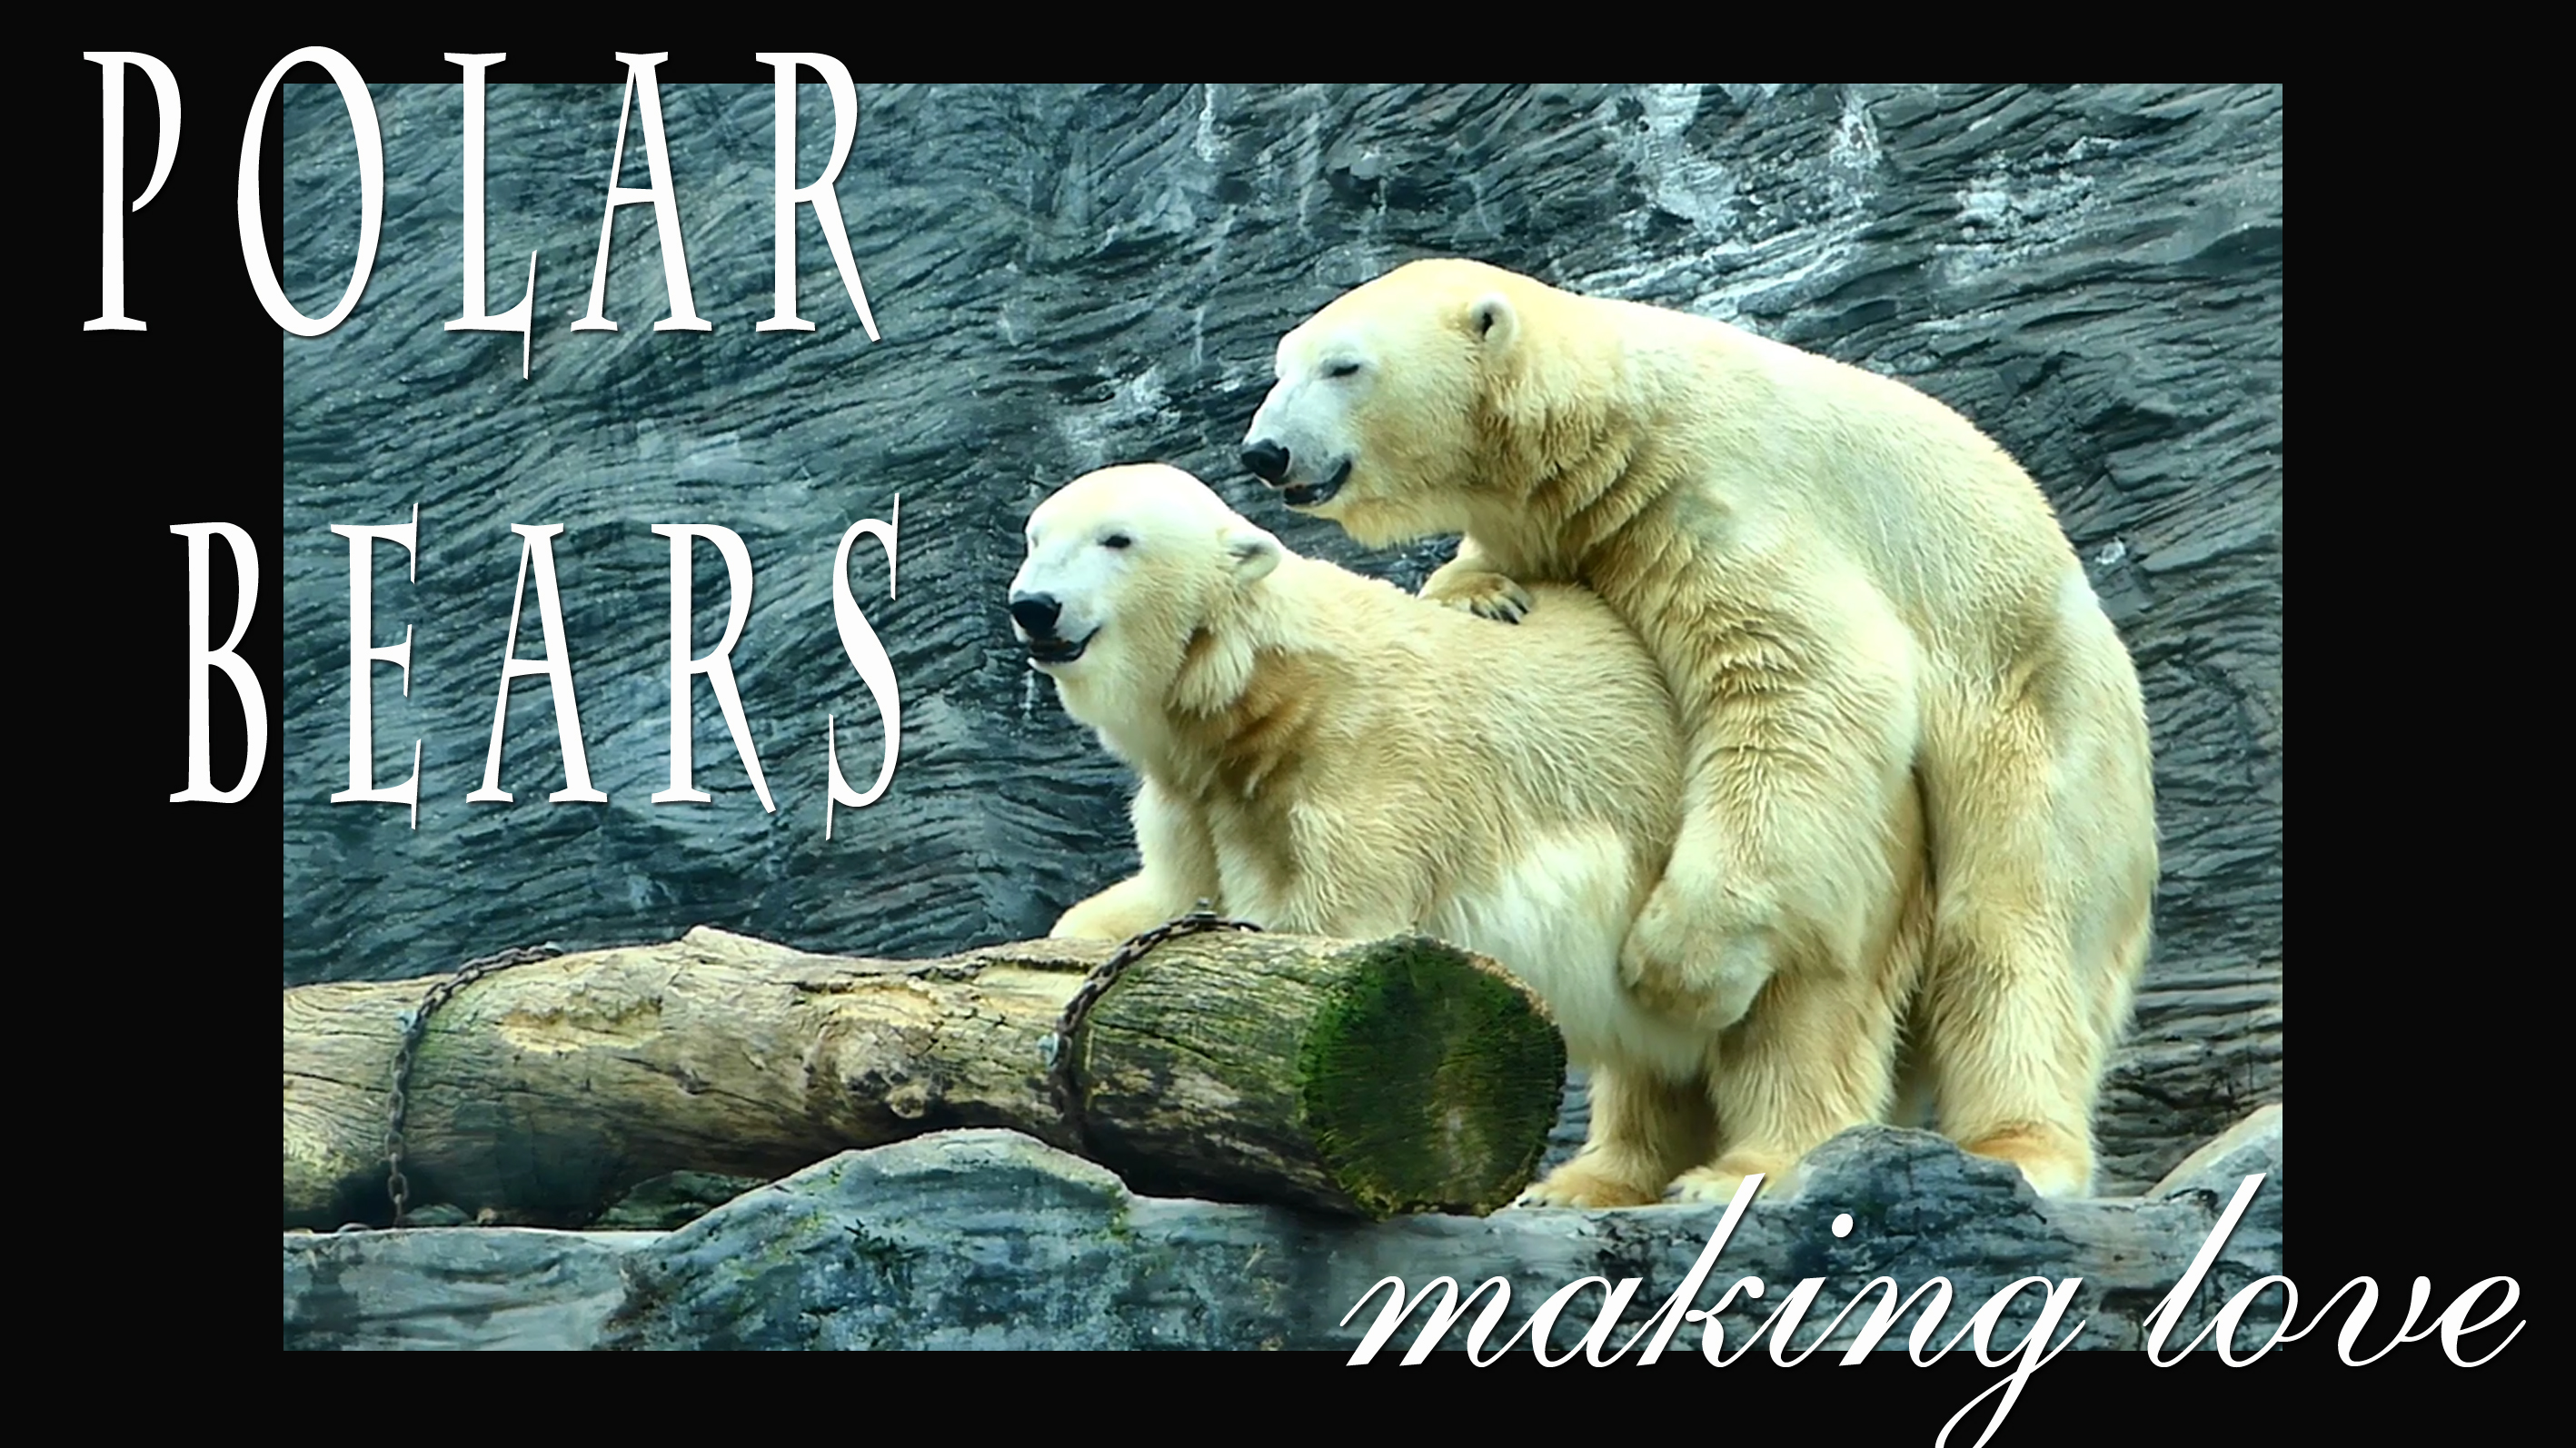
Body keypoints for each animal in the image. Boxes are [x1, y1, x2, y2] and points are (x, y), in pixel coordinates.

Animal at [1009, 461, 1935, 1208]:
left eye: (1116, 539)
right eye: (1035, 537)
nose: (1033, 607)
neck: (1261, 700)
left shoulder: (1366, 770)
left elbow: (1327, 931)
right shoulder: (1196, 794)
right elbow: (1170, 893)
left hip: (1794, 837)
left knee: (1798, 1009)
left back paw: (1741, 1169)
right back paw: (1585, 1182)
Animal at [1238, 257, 2159, 1204]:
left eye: (1342, 366)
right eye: (1280, 364)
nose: (1262, 453)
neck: (1602, 418)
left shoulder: (1715, 496)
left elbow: (1798, 678)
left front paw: (1673, 963)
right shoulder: (1567, 521)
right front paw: (1479, 593)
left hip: (2040, 718)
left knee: (2014, 929)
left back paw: (2003, 1148)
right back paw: (1591, 1176)